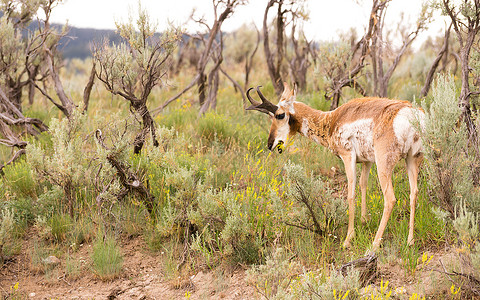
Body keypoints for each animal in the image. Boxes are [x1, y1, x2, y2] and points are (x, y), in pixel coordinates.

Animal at [248, 82, 424, 251]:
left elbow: (350, 195)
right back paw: (410, 241)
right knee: (414, 193)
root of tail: (408, 114)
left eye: (280, 115)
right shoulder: (367, 162)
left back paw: (374, 244)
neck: (331, 120)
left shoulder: (348, 157)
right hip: (412, 160)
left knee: (390, 199)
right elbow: (363, 185)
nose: (270, 144)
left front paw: (348, 239)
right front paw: (364, 221)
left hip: (384, 165)